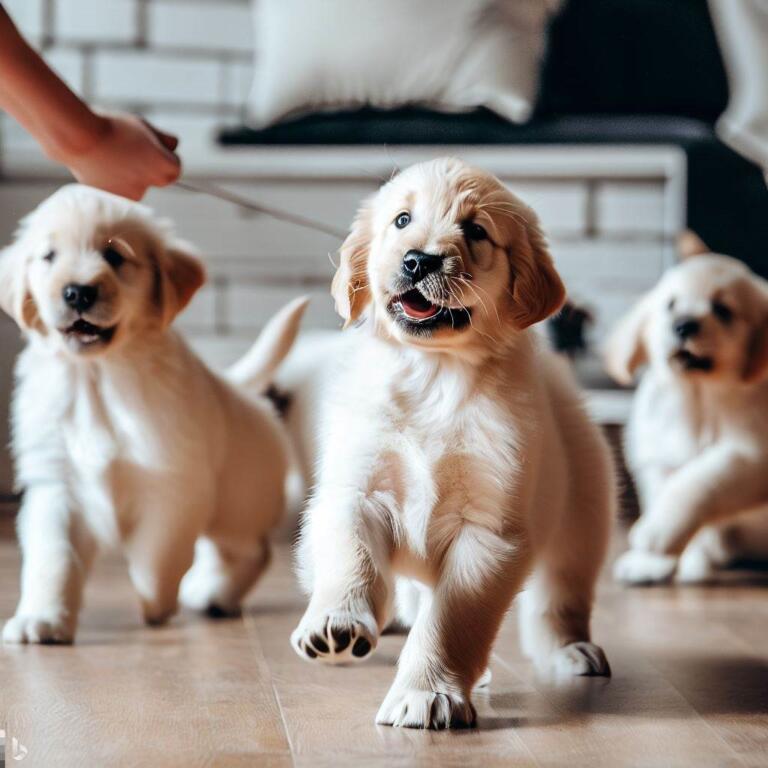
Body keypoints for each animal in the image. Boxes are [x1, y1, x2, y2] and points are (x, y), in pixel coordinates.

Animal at [0, 184, 306, 640]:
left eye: (114, 256)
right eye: (49, 256)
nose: (77, 292)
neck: (98, 376)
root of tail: (239, 389)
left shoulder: (172, 482)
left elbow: (157, 556)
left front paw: (156, 603)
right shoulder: (57, 484)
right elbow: (53, 559)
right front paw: (42, 619)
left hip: (239, 502)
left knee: (251, 550)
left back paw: (215, 595)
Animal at [280, 158, 616, 732]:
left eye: (476, 231)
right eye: (401, 220)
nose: (418, 260)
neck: (432, 375)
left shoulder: (489, 529)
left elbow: (454, 619)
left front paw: (426, 692)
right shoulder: (356, 490)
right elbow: (352, 556)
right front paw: (337, 621)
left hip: (583, 509)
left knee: (561, 595)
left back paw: (572, 651)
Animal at [604, 243, 768, 584]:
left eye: (723, 310)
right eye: (670, 304)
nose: (683, 325)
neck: (695, 399)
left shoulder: (750, 454)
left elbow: (697, 480)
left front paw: (656, 533)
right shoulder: (656, 461)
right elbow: (665, 491)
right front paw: (656, 564)